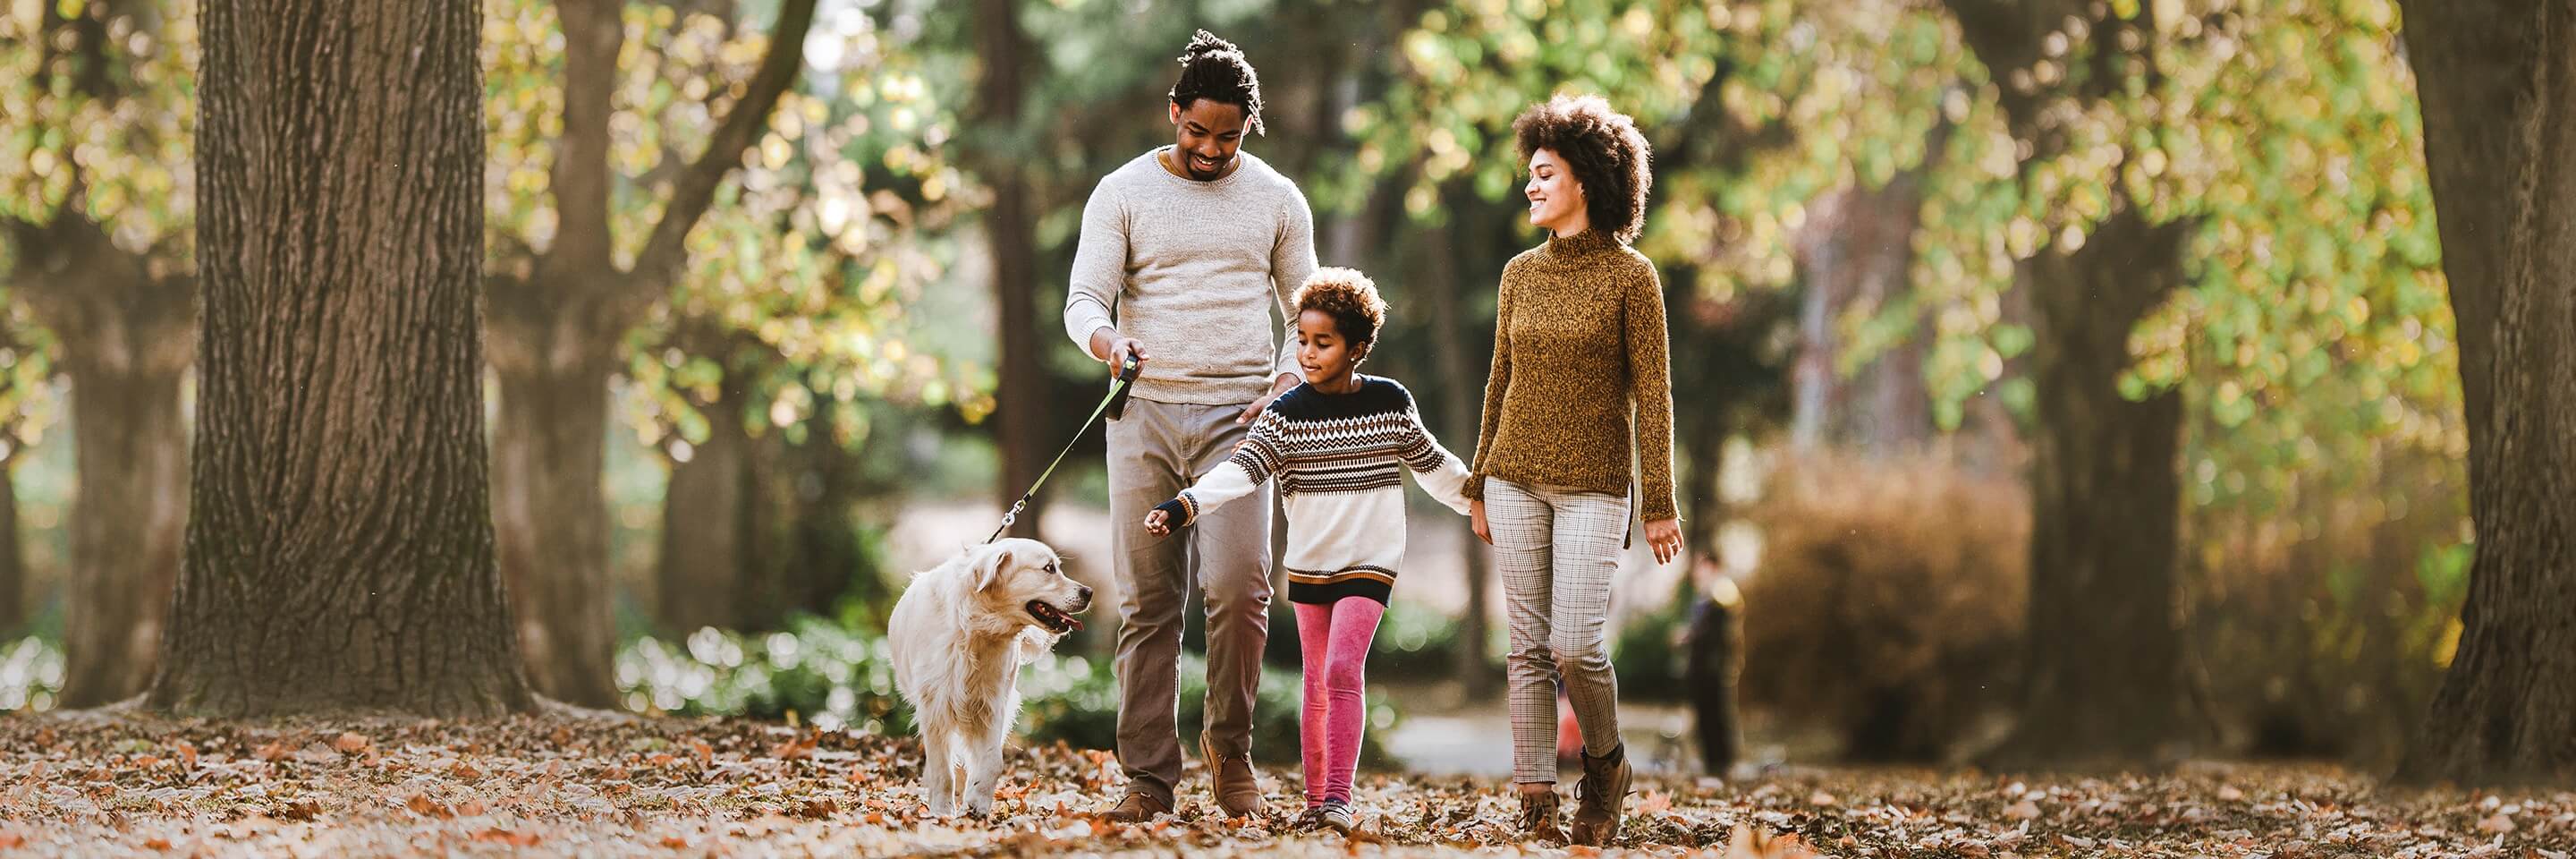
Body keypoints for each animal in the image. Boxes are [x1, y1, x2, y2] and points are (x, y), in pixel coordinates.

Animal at [891, 536, 1092, 814]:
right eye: (1049, 568)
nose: (1089, 592)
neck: (975, 629)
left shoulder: (992, 704)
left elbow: (993, 761)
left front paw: (978, 802)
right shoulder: (935, 708)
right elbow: (942, 770)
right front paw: (942, 811)